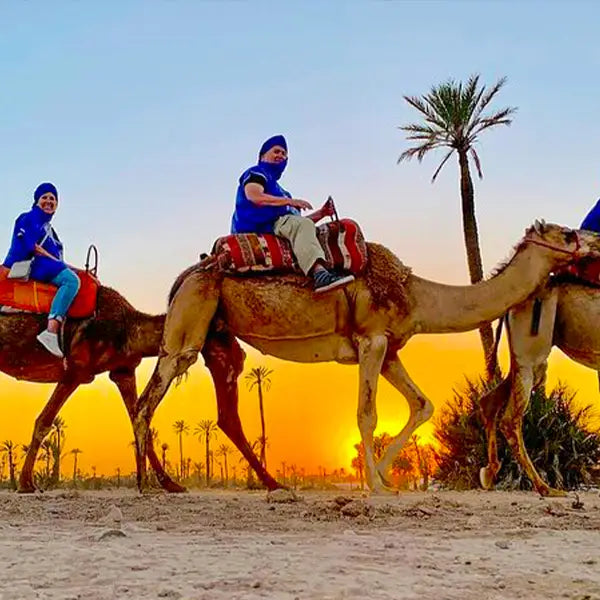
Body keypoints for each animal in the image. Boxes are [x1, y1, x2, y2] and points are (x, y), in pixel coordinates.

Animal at [0, 284, 186, 492]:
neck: (128, 326)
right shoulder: (76, 371)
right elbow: (44, 422)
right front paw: (26, 484)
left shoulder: (123, 372)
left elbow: (141, 423)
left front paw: (171, 484)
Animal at [480, 272, 600, 496]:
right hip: (531, 350)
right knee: (510, 420)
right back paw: (546, 488)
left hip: (525, 359)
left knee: (489, 401)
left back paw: (489, 473)